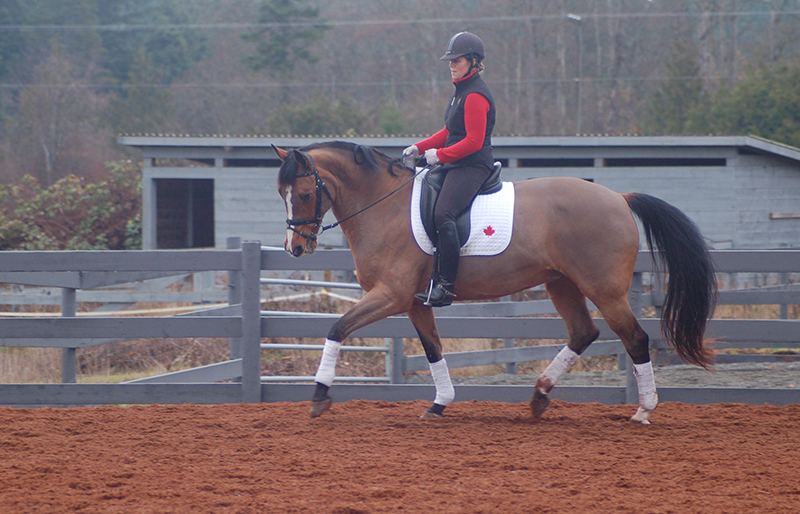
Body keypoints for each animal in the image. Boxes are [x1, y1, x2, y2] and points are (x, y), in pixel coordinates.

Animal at [273, 141, 717, 425]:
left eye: (306, 192)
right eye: (281, 193)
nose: (296, 247)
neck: (385, 205)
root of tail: (619, 198)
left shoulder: (390, 295)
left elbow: (337, 328)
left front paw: (319, 396)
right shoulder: (414, 301)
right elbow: (433, 350)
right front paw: (440, 404)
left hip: (604, 290)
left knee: (635, 339)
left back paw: (643, 411)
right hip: (561, 284)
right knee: (583, 332)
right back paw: (539, 397)